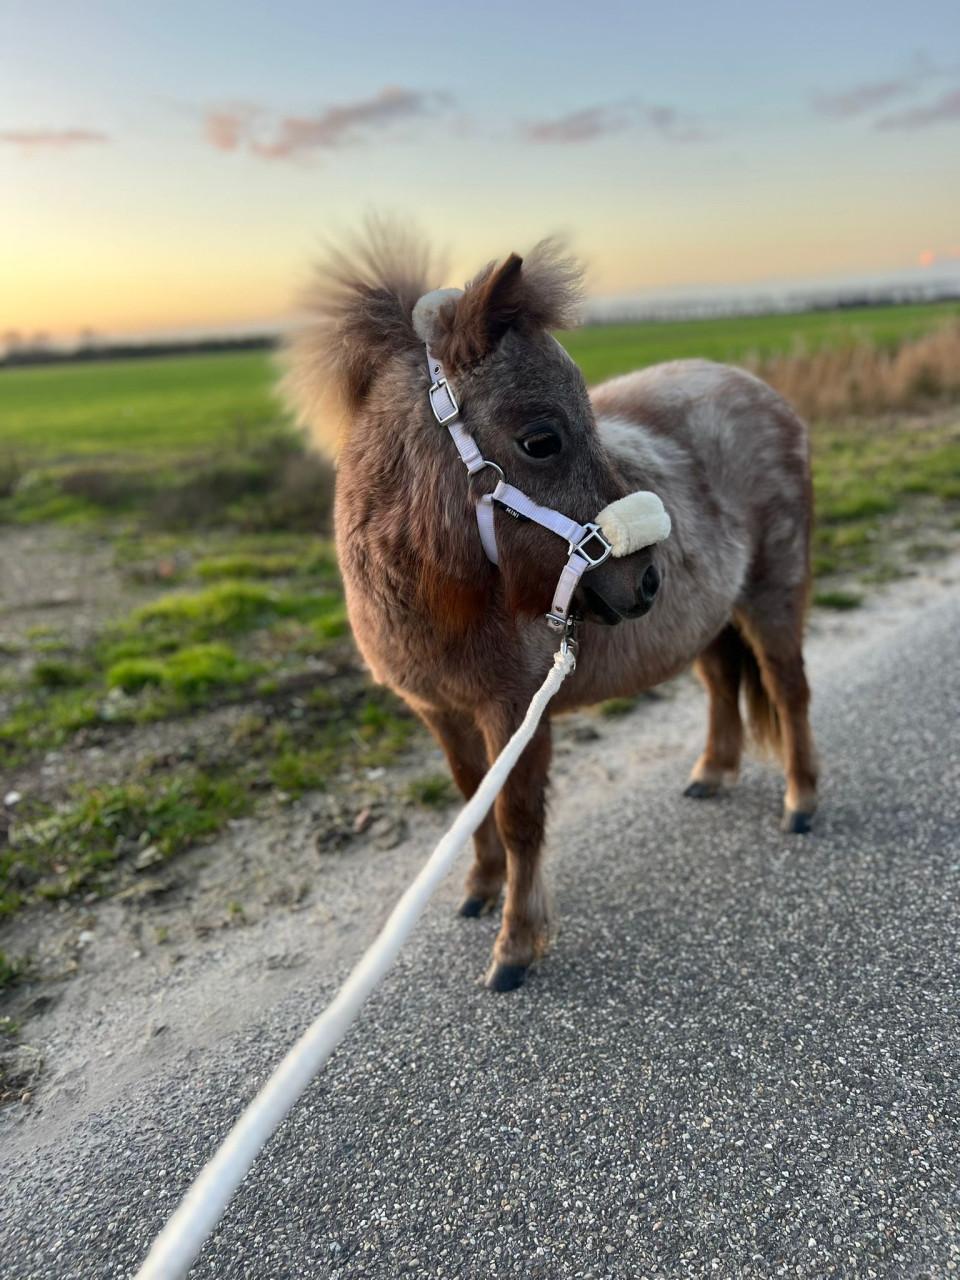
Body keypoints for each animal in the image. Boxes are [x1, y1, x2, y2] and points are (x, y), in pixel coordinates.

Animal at [285, 222, 818, 993]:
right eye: (542, 438)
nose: (646, 581)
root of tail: (764, 394)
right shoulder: (442, 713)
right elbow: (470, 799)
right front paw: (480, 889)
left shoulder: (515, 713)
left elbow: (516, 818)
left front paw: (516, 944)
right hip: (710, 621)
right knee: (723, 684)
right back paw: (711, 775)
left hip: (774, 598)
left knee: (789, 689)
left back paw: (801, 804)